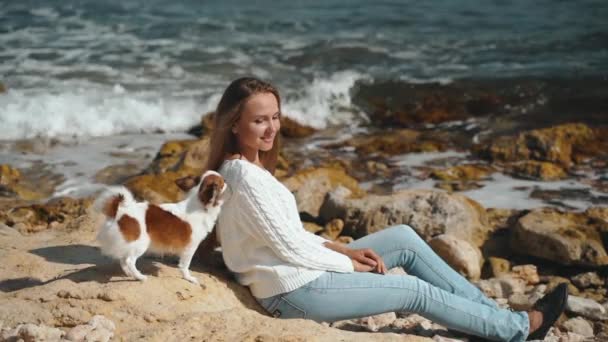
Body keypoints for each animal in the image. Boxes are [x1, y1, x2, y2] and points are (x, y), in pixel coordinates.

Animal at [94, 170, 227, 284]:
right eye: (222, 183)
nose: (227, 182)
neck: (199, 204)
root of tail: (119, 212)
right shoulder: (190, 247)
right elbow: (185, 265)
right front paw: (188, 278)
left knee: (123, 259)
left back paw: (130, 274)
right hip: (141, 244)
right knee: (129, 260)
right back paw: (140, 276)